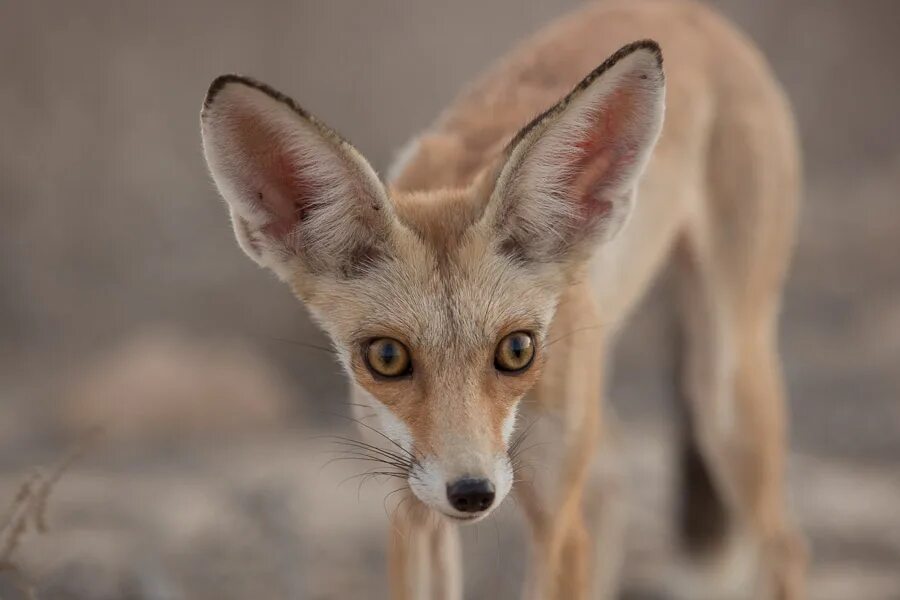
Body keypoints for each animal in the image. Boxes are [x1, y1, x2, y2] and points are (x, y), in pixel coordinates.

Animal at [200, 2, 804, 596]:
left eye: (517, 350)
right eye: (387, 357)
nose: (472, 492)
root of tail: (690, 10)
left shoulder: (557, 521)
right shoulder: (411, 508)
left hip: (723, 394)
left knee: (782, 549)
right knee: (613, 485)